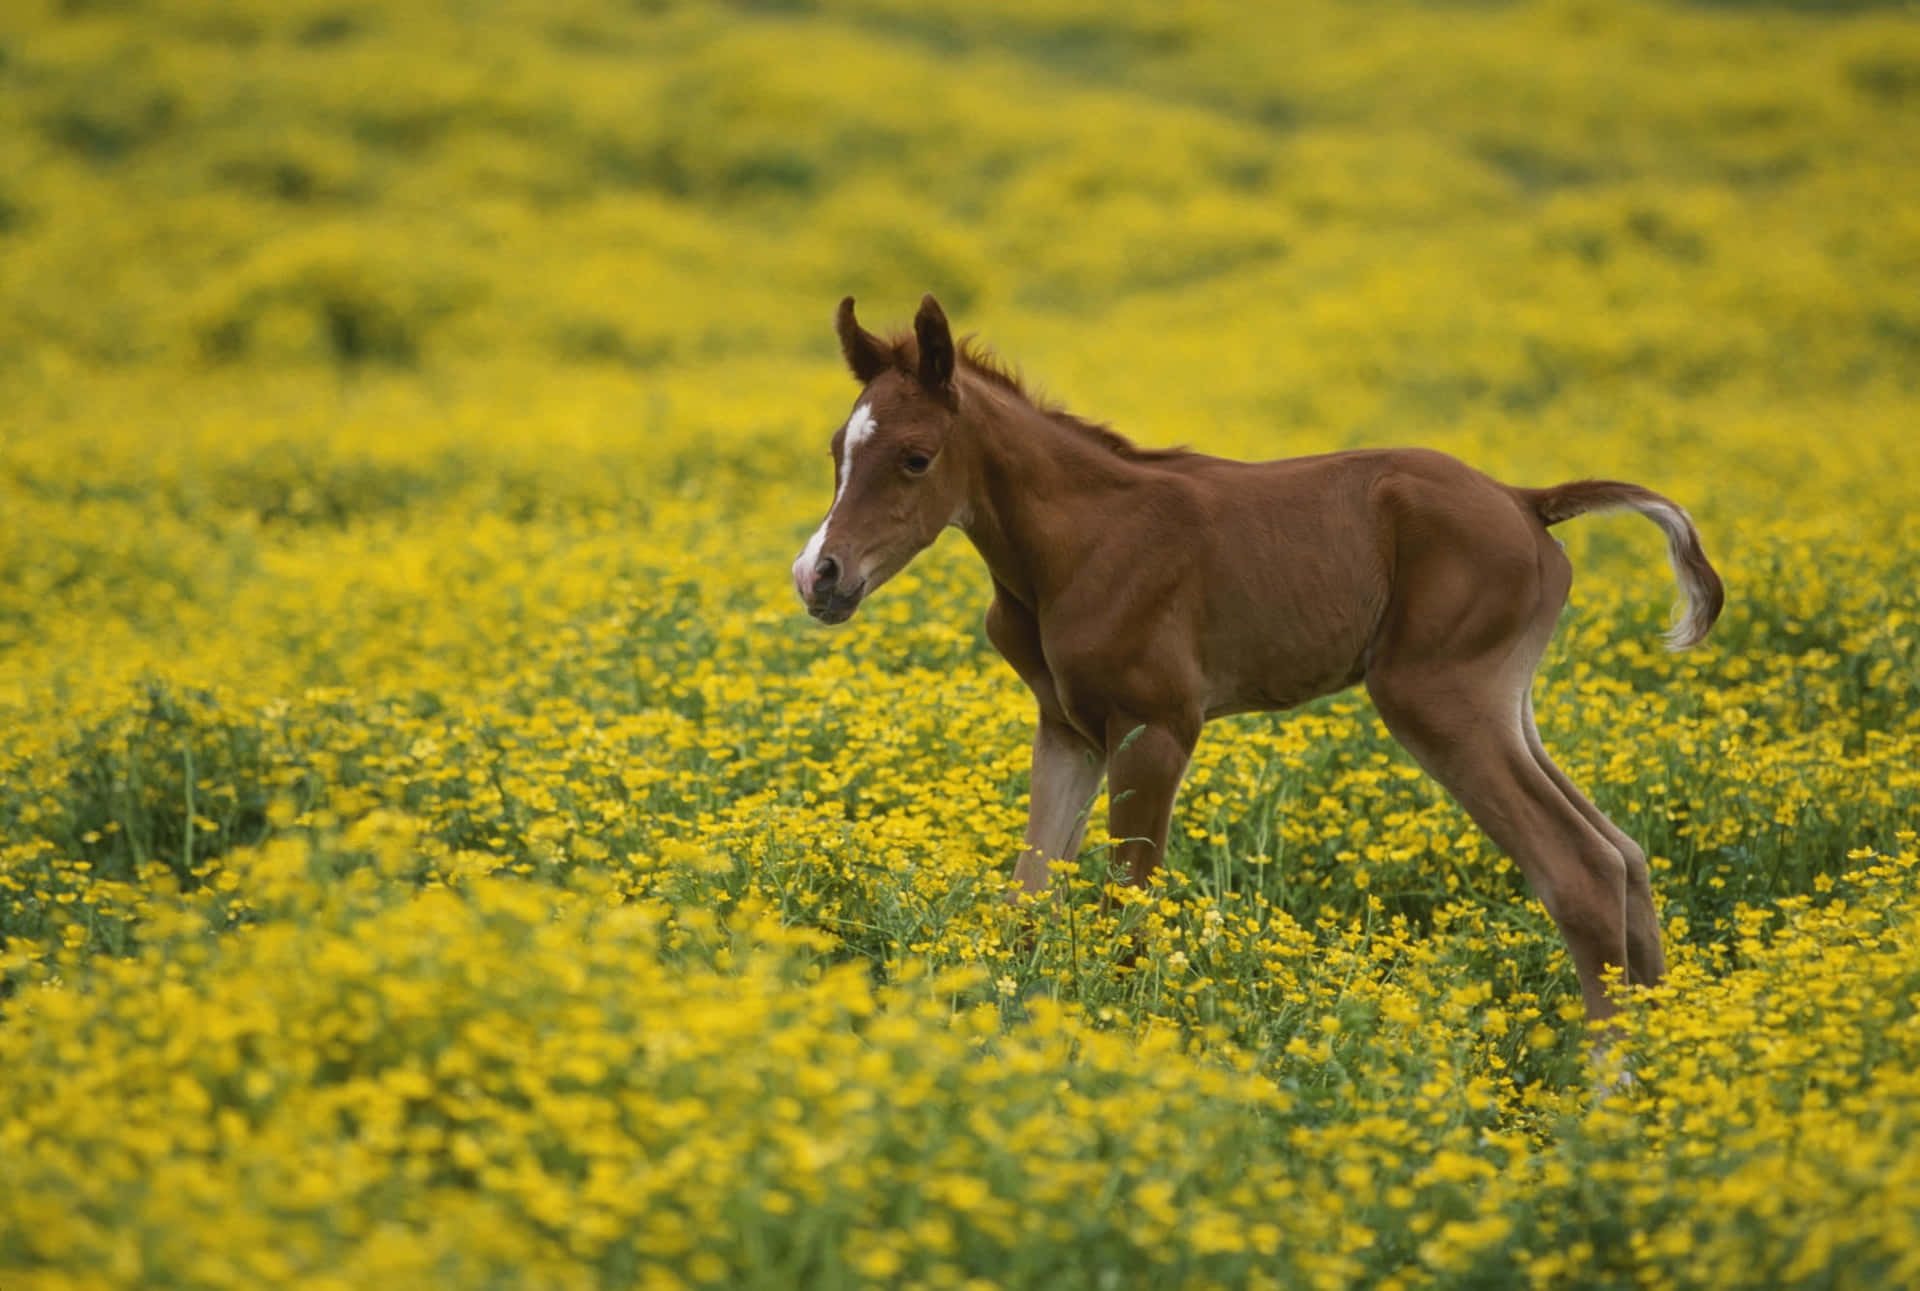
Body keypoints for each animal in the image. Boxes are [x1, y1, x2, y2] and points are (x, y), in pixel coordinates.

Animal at [792, 294, 1723, 1022]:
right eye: (838, 450)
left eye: (916, 457)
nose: (819, 575)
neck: (1078, 542)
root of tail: (1528, 502)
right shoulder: (1068, 730)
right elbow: (1028, 892)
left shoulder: (1158, 727)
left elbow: (1129, 906)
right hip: (1505, 705)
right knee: (1626, 855)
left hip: (1437, 698)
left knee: (1580, 868)